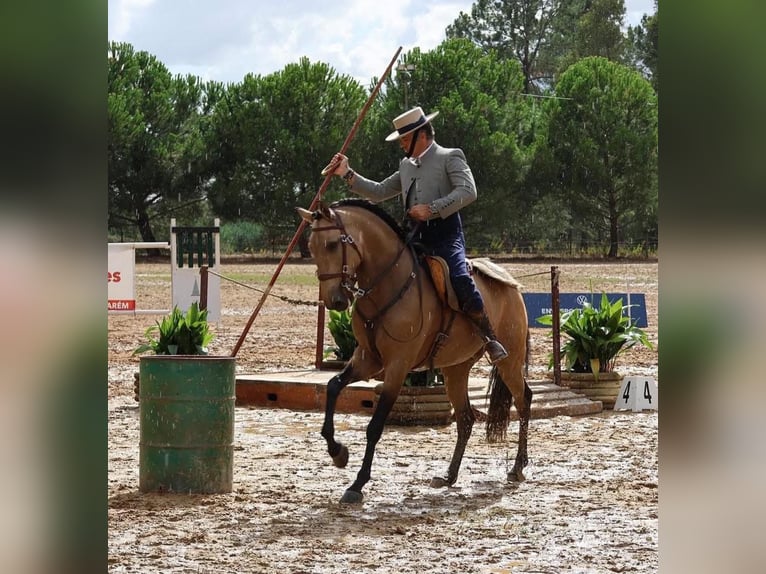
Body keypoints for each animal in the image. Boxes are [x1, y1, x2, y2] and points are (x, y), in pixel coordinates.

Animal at [296, 198, 532, 504]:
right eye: (311, 247)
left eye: (333, 244)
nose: (335, 300)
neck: (387, 284)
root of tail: (511, 286)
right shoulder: (367, 359)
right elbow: (334, 386)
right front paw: (338, 453)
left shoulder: (397, 366)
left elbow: (375, 426)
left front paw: (357, 484)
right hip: (455, 370)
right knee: (465, 418)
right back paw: (449, 476)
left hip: (510, 362)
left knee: (524, 400)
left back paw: (518, 467)